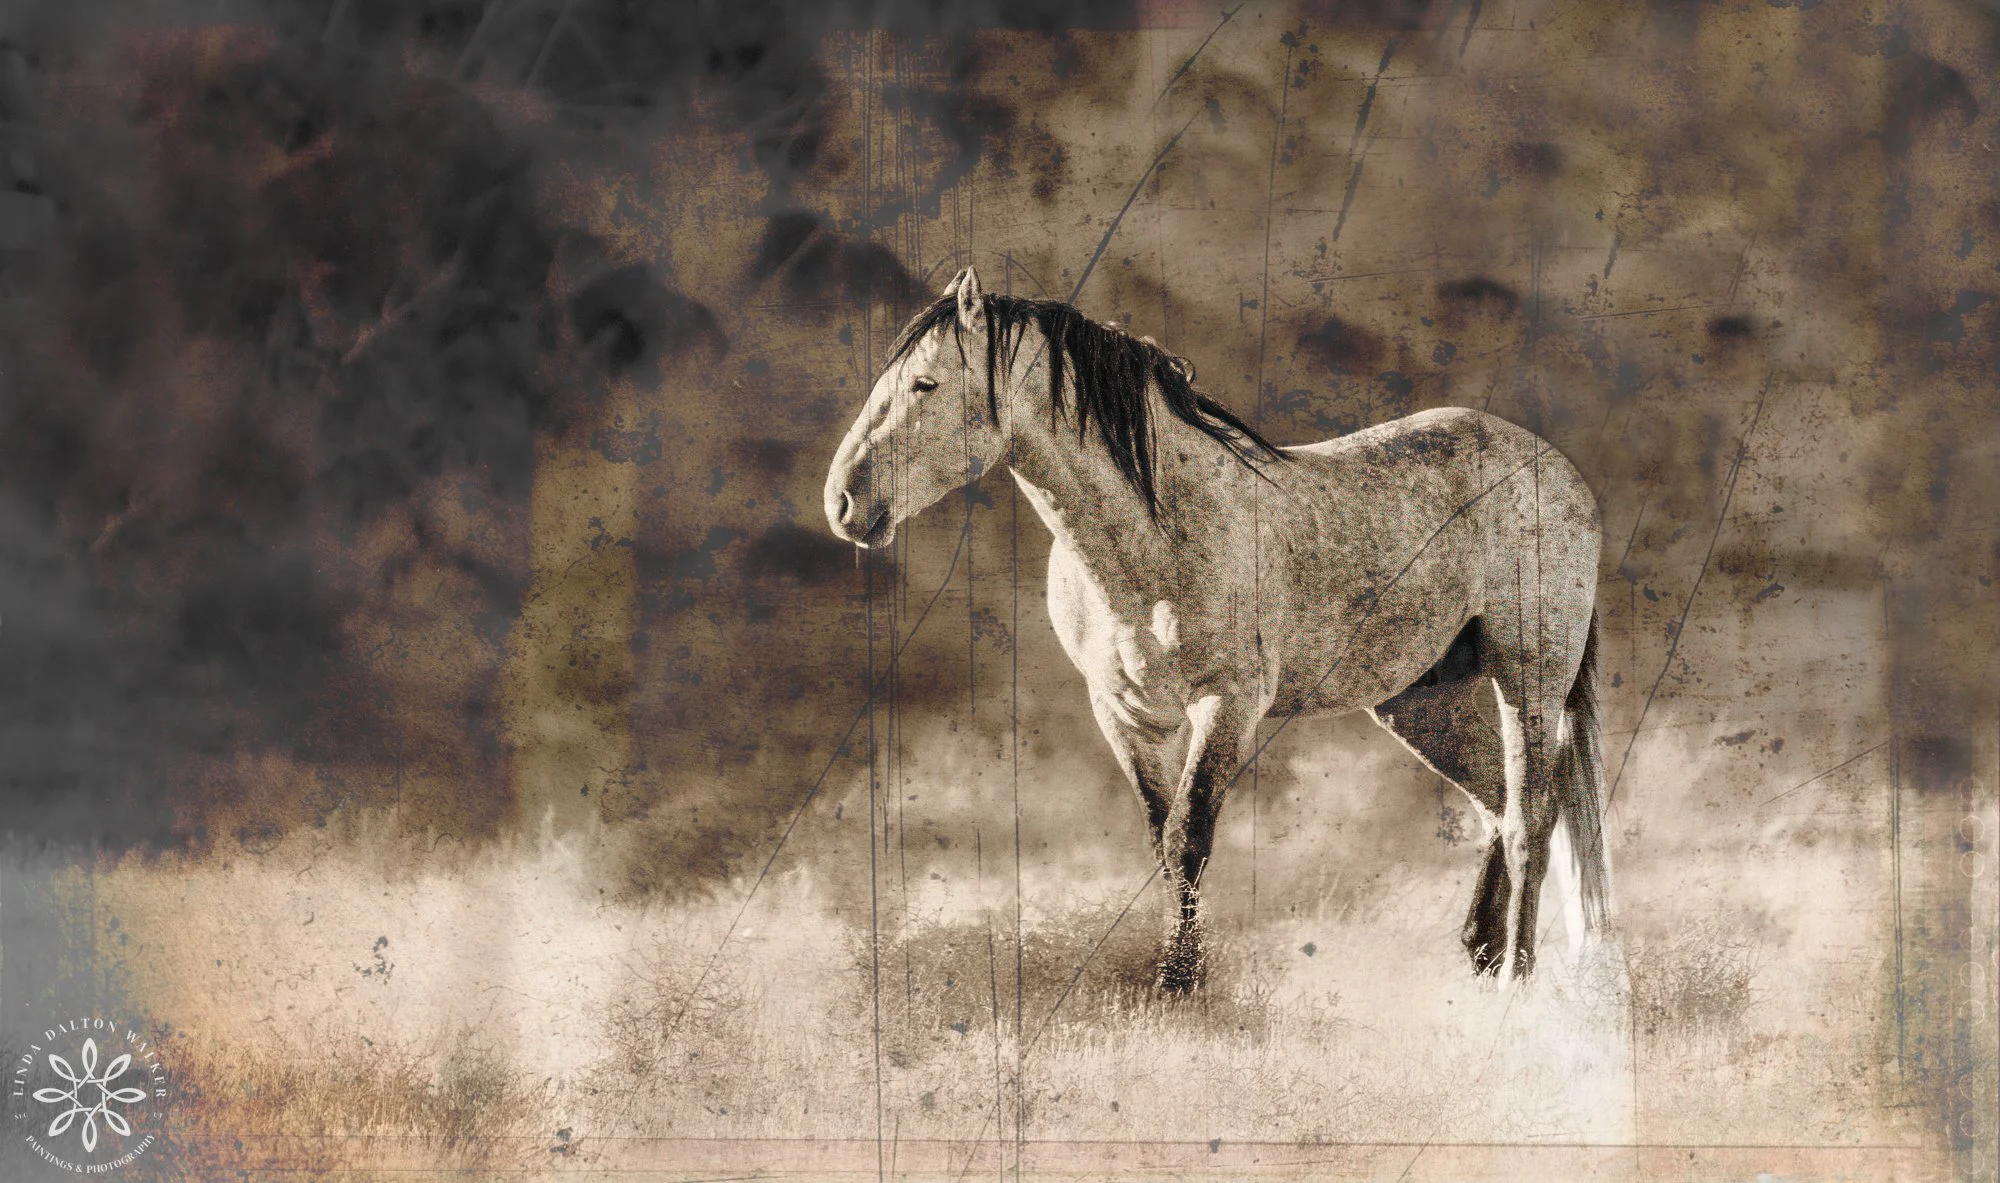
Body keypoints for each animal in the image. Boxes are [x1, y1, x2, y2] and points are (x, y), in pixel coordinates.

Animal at [823, 265, 1611, 992]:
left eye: (925, 385)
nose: (843, 503)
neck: (1158, 533)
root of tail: (1560, 471)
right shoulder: (1124, 714)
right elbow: (1159, 837)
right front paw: (1177, 974)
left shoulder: (1226, 705)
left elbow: (1189, 834)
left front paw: (1180, 980)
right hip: (1420, 700)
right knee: (1498, 808)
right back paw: (1479, 959)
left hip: (1529, 677)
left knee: (1532, 816)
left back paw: (1516, 979)